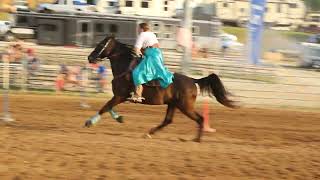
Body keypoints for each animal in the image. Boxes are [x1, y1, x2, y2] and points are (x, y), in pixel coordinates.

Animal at [84, 35, 236, 142]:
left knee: (200, 119)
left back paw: (197, 139)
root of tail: (193, 80)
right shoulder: (119, 97)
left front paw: (89, 122)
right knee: (168, 120)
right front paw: (119, 118)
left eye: (100, 45)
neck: (125, 68)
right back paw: (149, 133)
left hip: (185, 106)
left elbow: (105, 107)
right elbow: (109, 108)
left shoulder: (119, 96)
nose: (90, 57)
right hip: (173, 104)